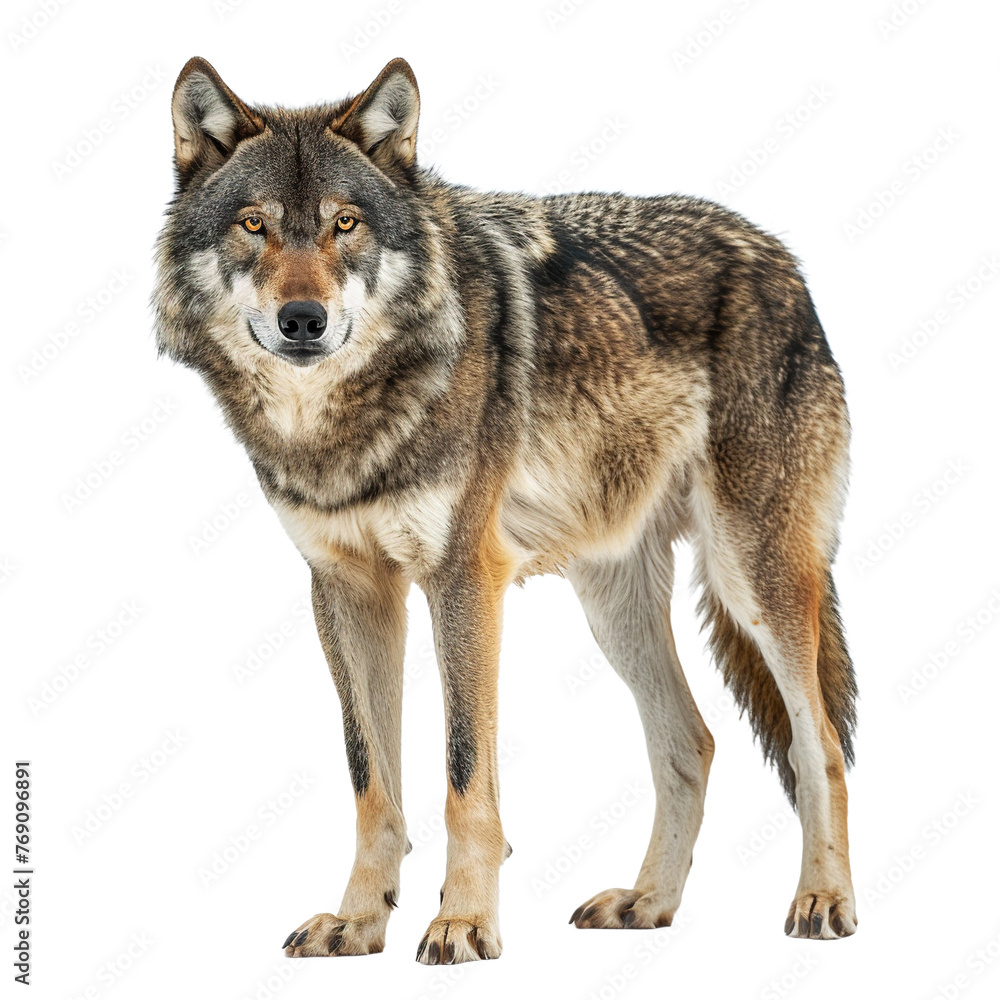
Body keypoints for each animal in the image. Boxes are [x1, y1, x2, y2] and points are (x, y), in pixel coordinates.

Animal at [153, 56, 858, 963]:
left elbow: (463, 774)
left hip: (752, 577)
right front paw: (358, 921)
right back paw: (647, 903)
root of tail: (781, 256)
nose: (302, 320)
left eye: (346, 223)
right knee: (691, 742)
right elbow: (370, 778)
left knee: (820, 745)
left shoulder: (464, 579)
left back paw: (823, 901)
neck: (346, 423)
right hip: (615, 608)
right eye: (254, 225)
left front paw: (462, 922)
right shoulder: (347, 590)